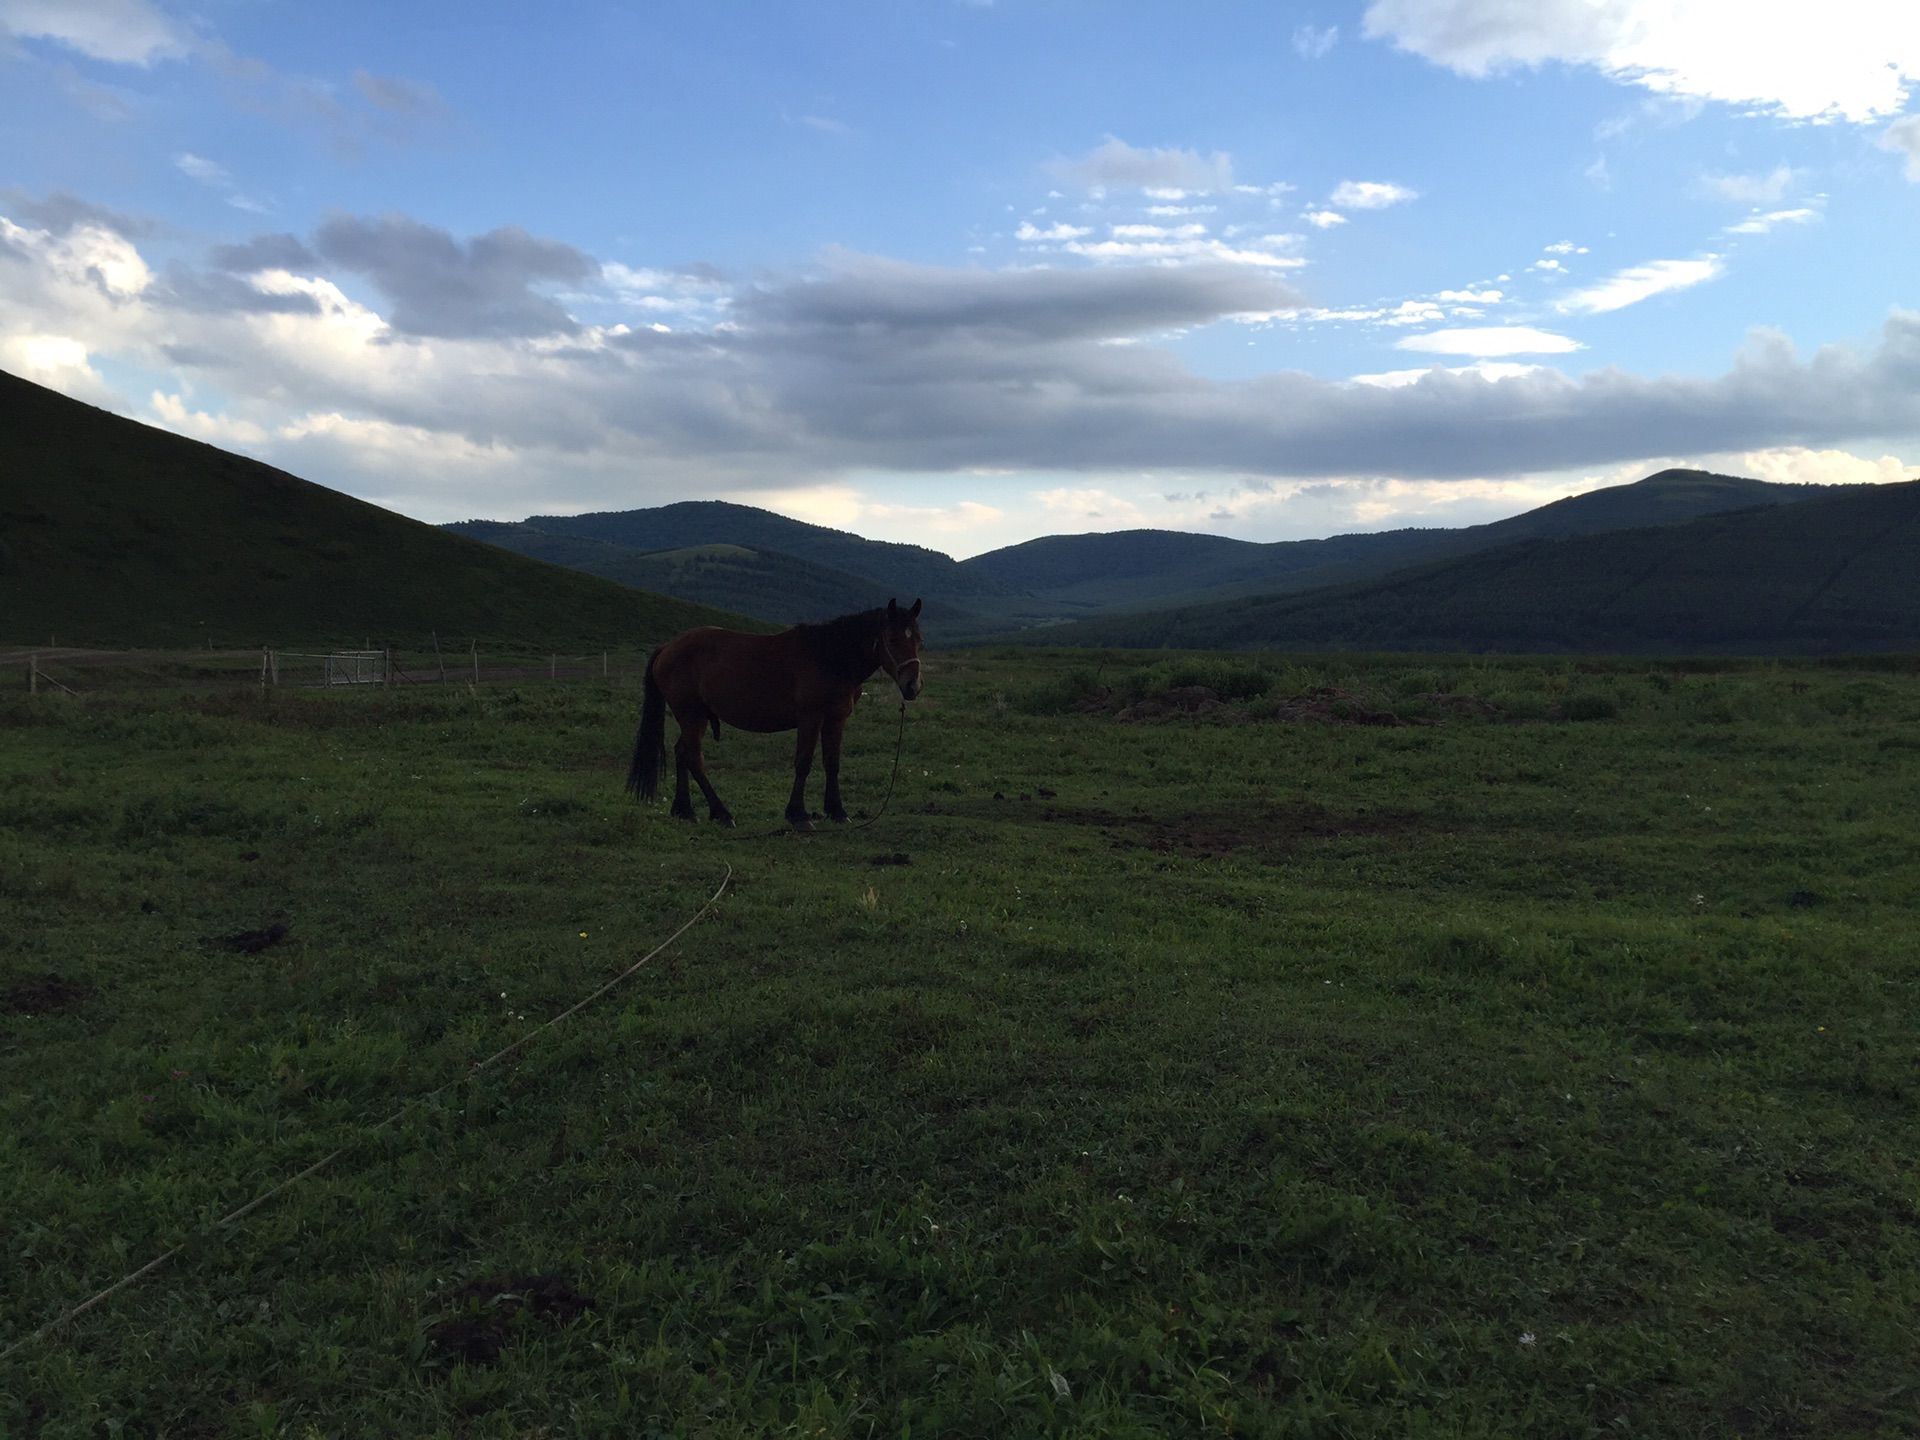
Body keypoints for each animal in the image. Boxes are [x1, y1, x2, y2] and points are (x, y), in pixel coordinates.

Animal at [629, 599, 921, 829]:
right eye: (893, 639)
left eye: (918, 640)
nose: (913, 686)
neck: (829, 657)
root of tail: (668, 648)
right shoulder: (810, 718)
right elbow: (803, 763)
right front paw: (798, 815)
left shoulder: (836, 719)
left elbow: (832, 763)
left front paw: (837, 811)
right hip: (691, 714)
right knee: (693, 757)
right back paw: (721, 813)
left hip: (694, 717)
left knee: (681, 753)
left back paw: (685, 810)